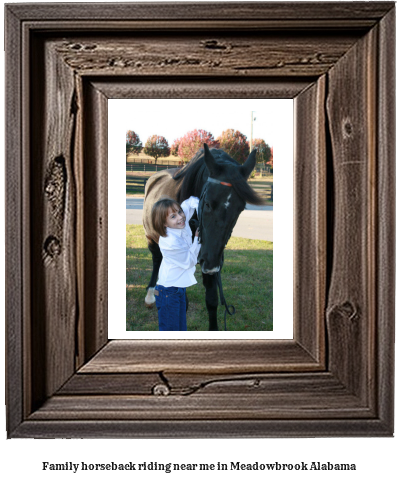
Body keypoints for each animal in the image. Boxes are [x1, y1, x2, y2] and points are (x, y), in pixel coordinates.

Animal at [142, 143, 264, 330]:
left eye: (241, 208)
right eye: (207, 203)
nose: (211, 264)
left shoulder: (211, 258)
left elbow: (212, 300)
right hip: (151, 238)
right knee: (157, 260)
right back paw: (150, 295)